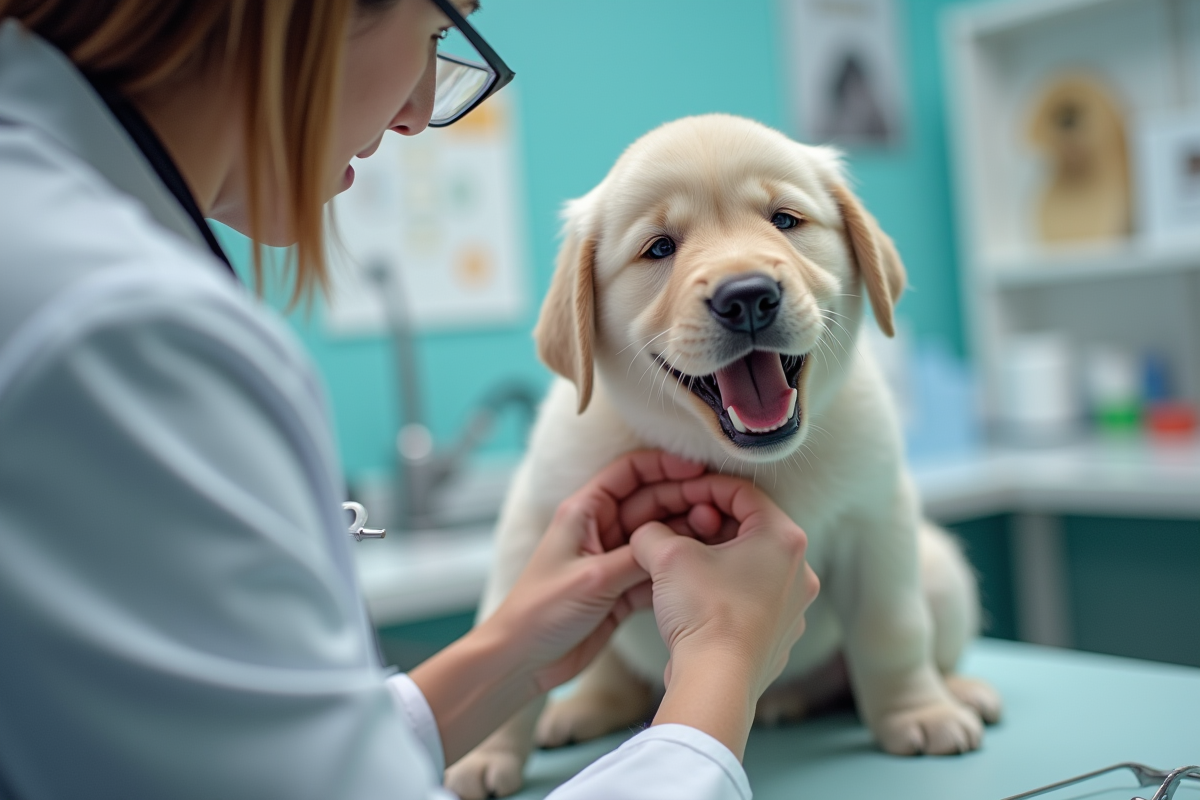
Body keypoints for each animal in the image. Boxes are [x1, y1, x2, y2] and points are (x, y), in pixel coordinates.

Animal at [446, 112, 998, 800]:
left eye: (785, 220)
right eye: (659, 248)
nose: (748, 296)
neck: (739, 457)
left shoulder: (879, 518)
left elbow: (891, 628)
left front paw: (915, 712)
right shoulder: (537, 528)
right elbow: (517, 645)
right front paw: (485, 752)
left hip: (941, 571)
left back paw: (950, 691)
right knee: (617, 678)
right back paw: (586, 709)